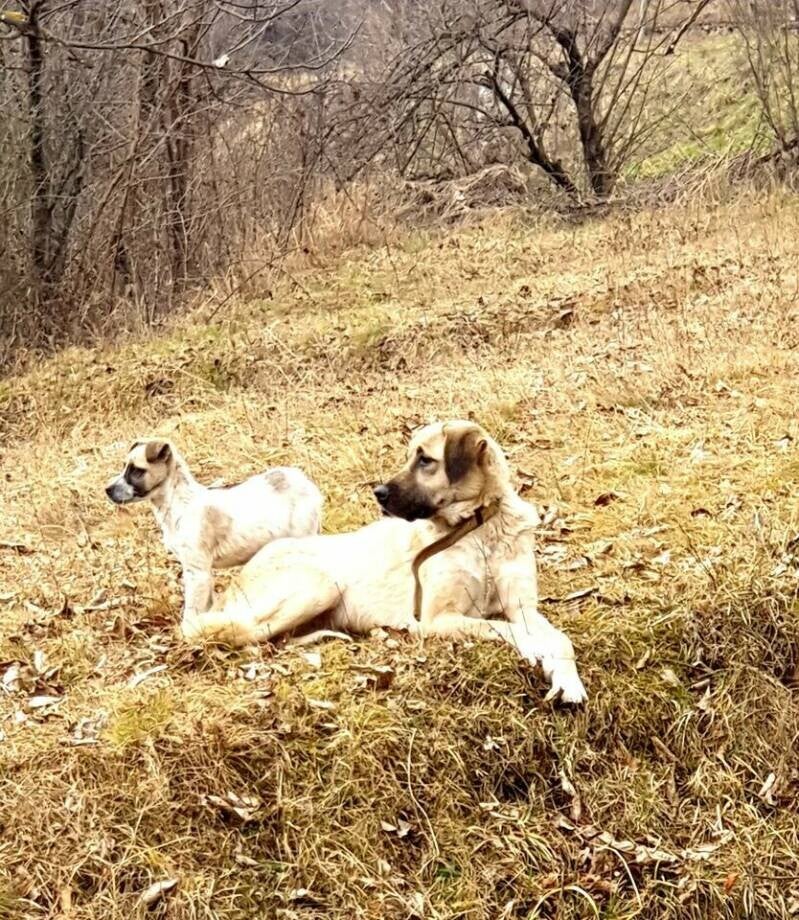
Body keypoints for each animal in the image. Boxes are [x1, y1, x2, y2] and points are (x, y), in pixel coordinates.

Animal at [106, 439, 323, 618]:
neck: (178, 503)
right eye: (124, 467)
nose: (107, 490)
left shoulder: (197, 573)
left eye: (137, 471)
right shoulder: (201, 571)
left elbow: (191, 613)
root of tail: (305, 481)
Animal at [180, 421, 586, 703]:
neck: (477, 529)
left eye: (425, 460)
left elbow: (561, 639)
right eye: (411, 457)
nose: (378, 493)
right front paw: (535, 650)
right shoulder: (438, 618)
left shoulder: (523, 607)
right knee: (247, 635)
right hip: (319, 584)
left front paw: (567, 680)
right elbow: (503, 629)